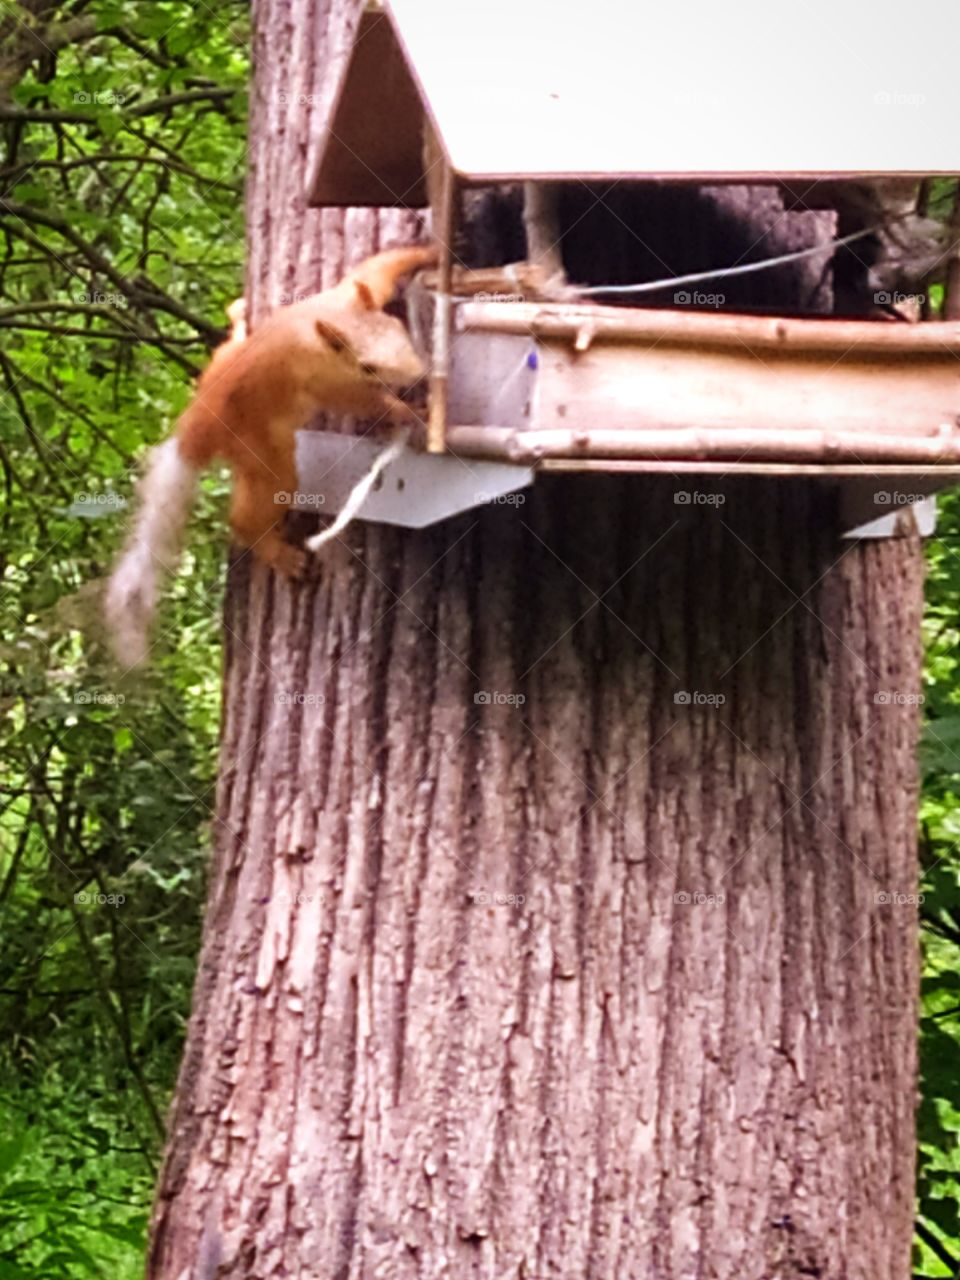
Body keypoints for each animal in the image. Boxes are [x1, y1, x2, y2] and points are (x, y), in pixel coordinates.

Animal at [104, 243, 436, 668]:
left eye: (398, 328)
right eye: (368, 367)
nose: (419, 375)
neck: (319, 328)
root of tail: (195, 429)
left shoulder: (347, 294)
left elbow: (377, 268)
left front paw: (429, 252)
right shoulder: (330, 382)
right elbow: (368, 403)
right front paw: (410, 412)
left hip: (223, 364)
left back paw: (238, 317)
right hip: (260, 451)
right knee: (246, 515)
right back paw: (279, 554)